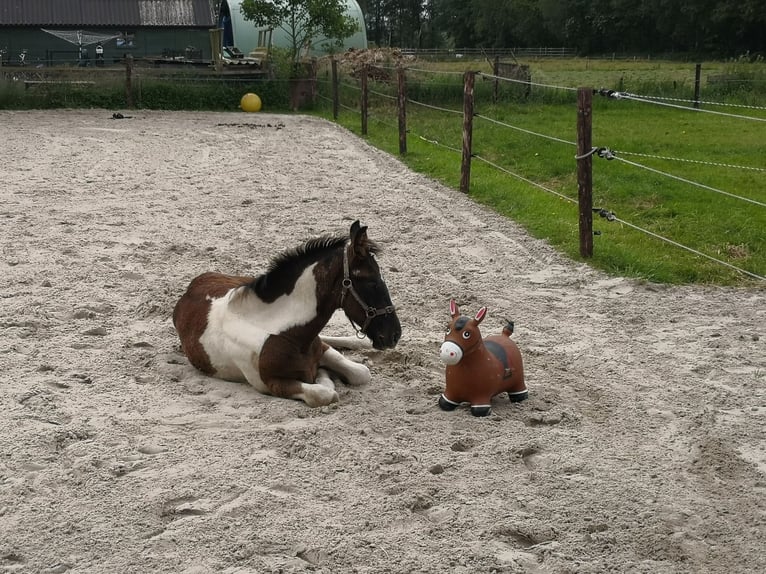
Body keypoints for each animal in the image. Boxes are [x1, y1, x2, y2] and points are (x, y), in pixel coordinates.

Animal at [173, 222, 402, 410]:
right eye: (371, 282)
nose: (395, 335)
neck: (282, 330)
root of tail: (195, 283)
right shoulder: (271, 384)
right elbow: (324, 393)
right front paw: (323, 376)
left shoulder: (322, 348)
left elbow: (360, 372)